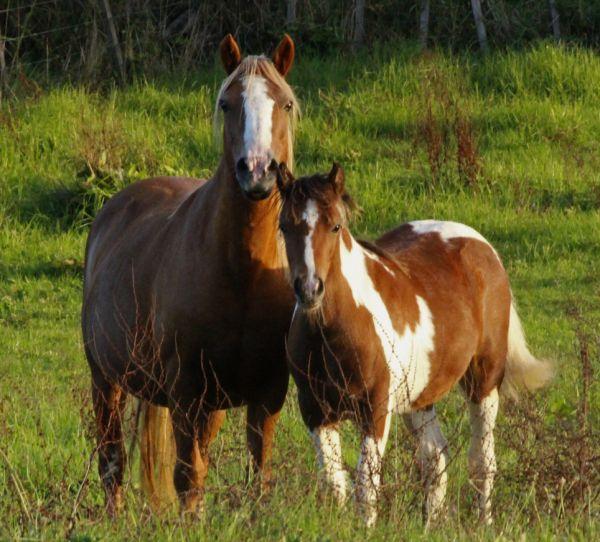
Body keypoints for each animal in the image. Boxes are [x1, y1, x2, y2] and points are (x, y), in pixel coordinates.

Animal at [83, 36, 298, 516]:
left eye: (286, 104)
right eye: (227, 102)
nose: (258, 171)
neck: (243, 277)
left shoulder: (268, 392)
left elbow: (260, 474)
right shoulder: (185, 393)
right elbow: (188, 479)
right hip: (105, 381)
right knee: (111, 460)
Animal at [276, 165, 552, 528]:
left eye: (335, 225)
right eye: (284, 226)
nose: (309, 290)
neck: (333, 330)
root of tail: (479, 243)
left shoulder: (375, 410)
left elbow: (366, 485)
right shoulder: (315, 411)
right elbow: (335, 484)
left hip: (483, 381)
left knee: (482, 460)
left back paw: (484, 522)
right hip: (418, 396)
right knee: (436, 458)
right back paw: (430, 525)